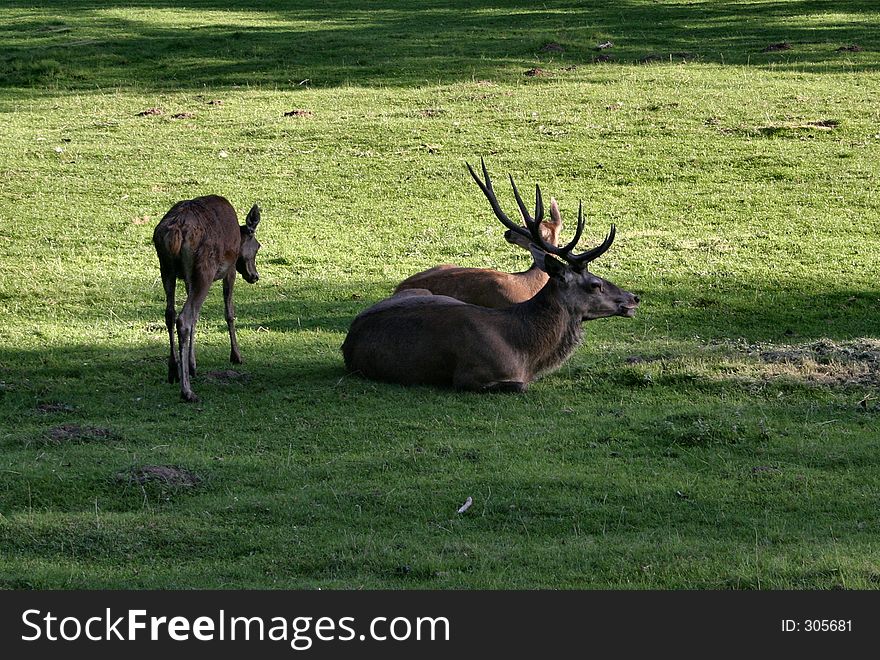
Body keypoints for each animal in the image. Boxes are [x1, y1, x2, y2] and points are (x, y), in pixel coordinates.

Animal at [153, 195, 262, 402]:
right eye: (258, 246)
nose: (255, 276)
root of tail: (176, 233)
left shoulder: (188, 278)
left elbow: (197, 316)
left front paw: (192, 364)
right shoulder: (230, 269)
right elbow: (229, 312)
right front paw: (236, 355)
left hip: (166, 268)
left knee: (171, 314)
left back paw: (173, 370)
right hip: (205, 269)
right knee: (184, 318)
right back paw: (187, 391)